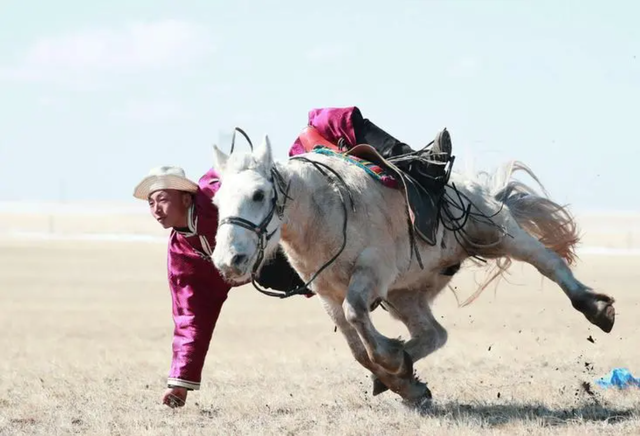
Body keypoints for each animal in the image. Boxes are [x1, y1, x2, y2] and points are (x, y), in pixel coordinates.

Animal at [209, 135, 616, 402]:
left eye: (259, 194)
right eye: (216, 200)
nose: (229, 260)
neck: (327, 209)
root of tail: (477, 189)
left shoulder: (372, 274)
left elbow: (357, 316)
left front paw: (393, 361)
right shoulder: (327, 294)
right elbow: (357, 347)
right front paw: (404, 380)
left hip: (499, 233)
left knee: (549, 262)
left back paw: (596, 308)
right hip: (406, 295)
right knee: (434, 333)